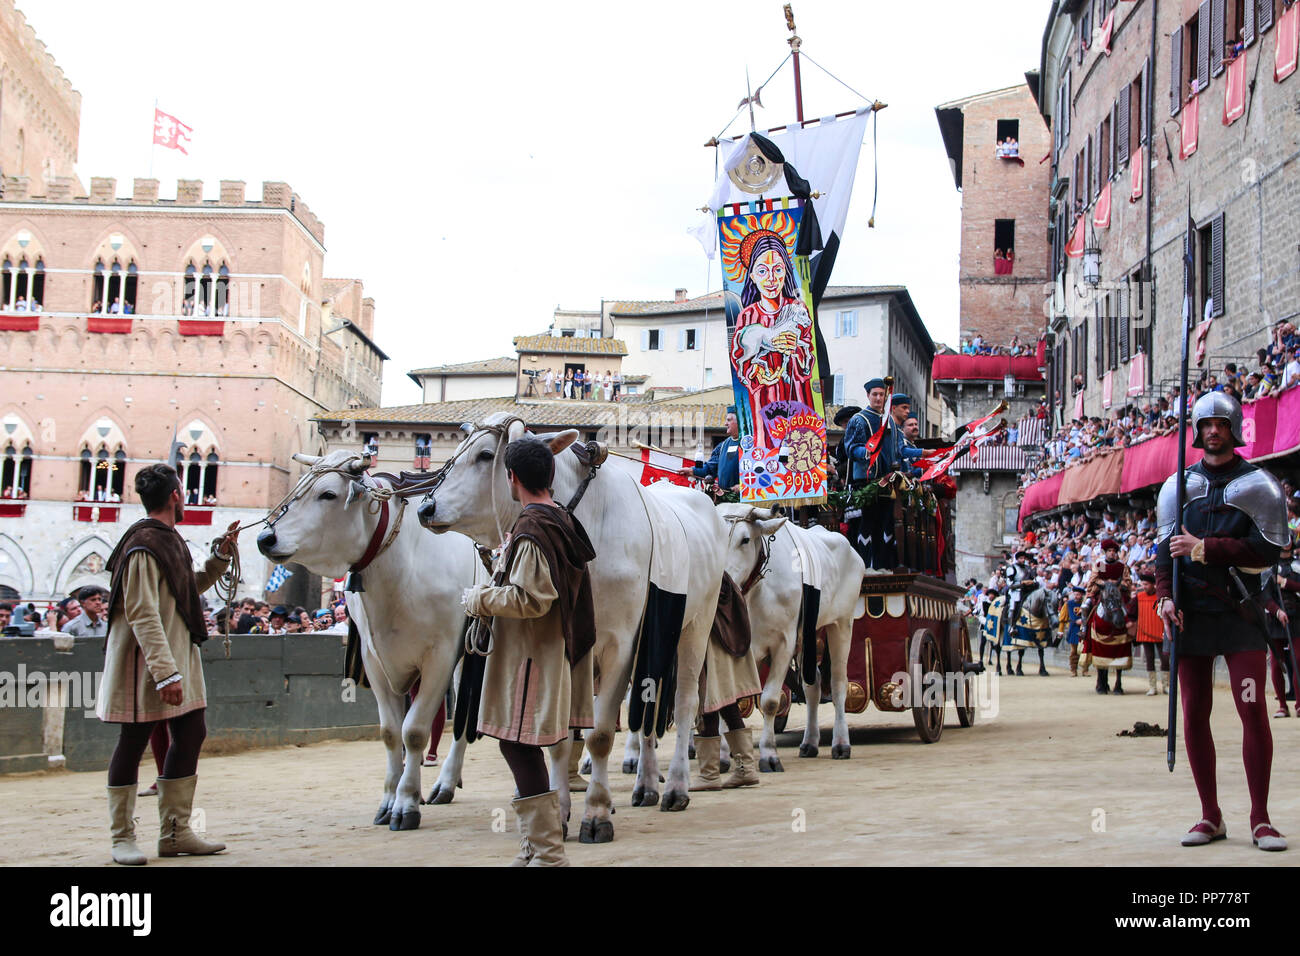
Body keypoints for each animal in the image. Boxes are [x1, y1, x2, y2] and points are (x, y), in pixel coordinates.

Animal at [416, 416, 728, 842]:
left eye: (485, 455)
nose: (426, 506)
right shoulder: (569, 644)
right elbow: (561, 740)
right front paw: (561, 812)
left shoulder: (620, 645)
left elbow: (599, 734)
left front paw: (596, 814)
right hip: (655, 640)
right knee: (647, 707)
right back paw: (646, 784)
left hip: (694, 625)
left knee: (683, 705)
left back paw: (676, 788)